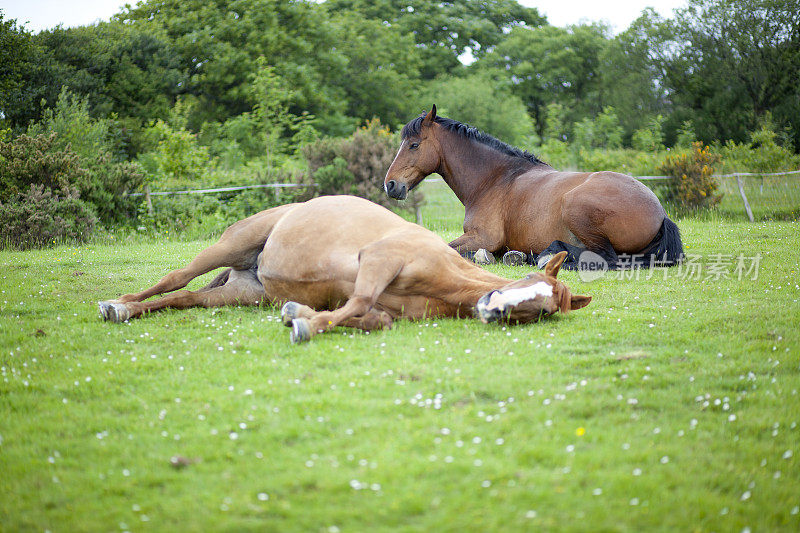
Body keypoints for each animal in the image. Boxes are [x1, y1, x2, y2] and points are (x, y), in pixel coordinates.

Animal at [97, 194, 592, 340]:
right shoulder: (378, 259)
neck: (446, 278)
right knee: (174, 279)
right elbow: (357, 302)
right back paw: (118, 304)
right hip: (229, 246)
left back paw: (128, 310)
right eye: (528, 280)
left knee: (185, 298)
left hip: (241, 293)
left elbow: (371, 316)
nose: (494, 308)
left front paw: (301, 314)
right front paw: (305, 324)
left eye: (544, 310)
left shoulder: (386, 309)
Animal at [384, 105, 684, 268]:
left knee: (605, 259)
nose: (390, 185)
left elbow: (445, 246)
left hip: (576, 207)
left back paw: (541, 257)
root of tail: (660, 213)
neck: (494, 179)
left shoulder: (483, 237)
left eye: (414, 145)